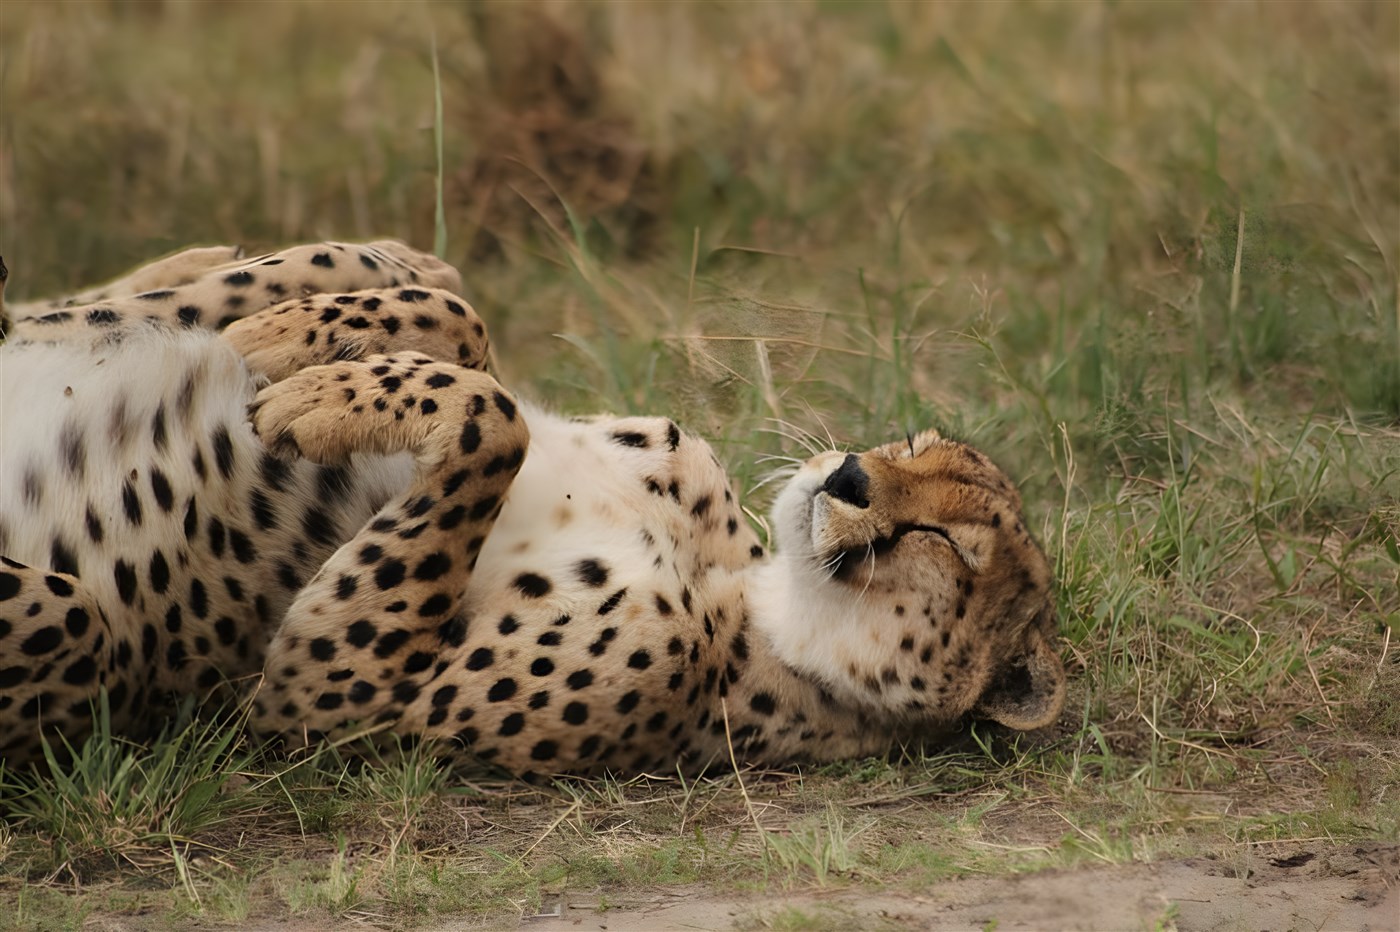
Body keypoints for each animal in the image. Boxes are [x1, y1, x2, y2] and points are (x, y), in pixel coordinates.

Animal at [0, 240, 1066, 780]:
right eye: (913, 448)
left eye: (947, 544)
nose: (846, 474)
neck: (758, 592)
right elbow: (462, 328)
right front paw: (302, 348)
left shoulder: (329, 702)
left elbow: (494, 417)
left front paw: (316, 390)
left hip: (73, 626)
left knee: (76, 614)